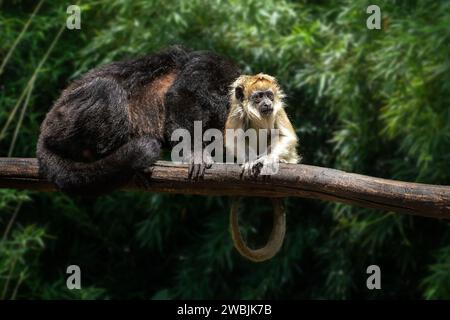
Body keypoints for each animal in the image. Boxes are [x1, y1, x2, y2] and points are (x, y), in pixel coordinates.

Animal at [36, 45, 241, 195]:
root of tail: (44, 132)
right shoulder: (207, 63)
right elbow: (184, 94)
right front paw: (194, 151)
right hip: (64, 121)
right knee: (105, 88)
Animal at [224, 73, 298, 262]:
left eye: (269, 95)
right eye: (258, 96)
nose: (267, 103)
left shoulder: (278, 109)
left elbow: (286, 137)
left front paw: (269, 160)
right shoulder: (238, 111)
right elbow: (233, 139)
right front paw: (250, 161)